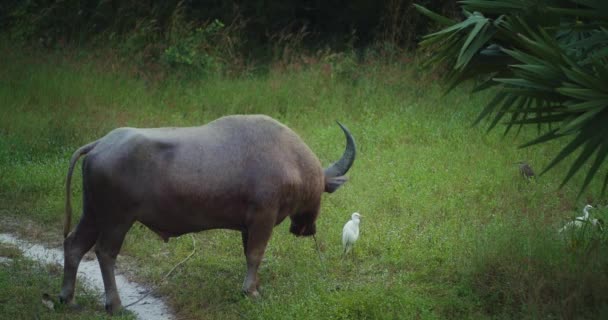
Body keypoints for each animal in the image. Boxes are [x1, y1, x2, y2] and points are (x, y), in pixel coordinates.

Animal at [59, 114, 354, 312]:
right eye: (322, 193)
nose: (306, 229)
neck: (290, 160)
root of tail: (100, 144)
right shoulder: (263, 218)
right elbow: (256, 254)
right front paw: (251, 292)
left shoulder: (248, 226)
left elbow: (249, 255)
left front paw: (255, 285)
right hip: (117, 219)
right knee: (105, 252)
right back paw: (114, 304)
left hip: (93, 213)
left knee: (74, 244)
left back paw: (67, 298)